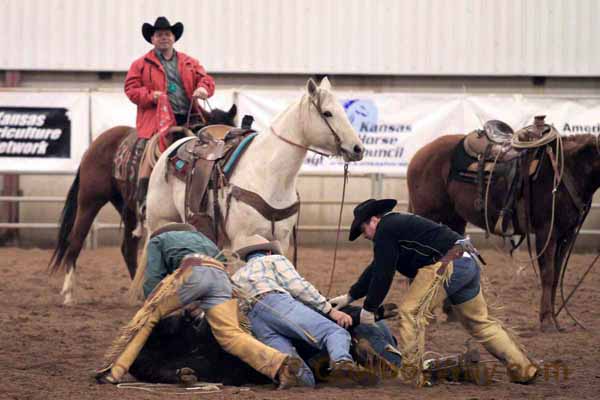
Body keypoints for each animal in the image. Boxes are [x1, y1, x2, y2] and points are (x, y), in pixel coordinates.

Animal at [48, 104, 237, 304]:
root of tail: (96, 143)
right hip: (90, 201)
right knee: (75, 241)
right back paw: (68, 293)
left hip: (127, 209)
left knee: (128, 249)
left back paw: (137, 293)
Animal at [408, 131, 600, 332]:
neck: (565, 170)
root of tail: (420, 154)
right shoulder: (546, 233)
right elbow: (547, 274)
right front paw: (547, 321)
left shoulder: (566, 235)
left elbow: (556, 276)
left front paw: (554, 320)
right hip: (427, 215)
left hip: (455, 220)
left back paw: (451, 313)